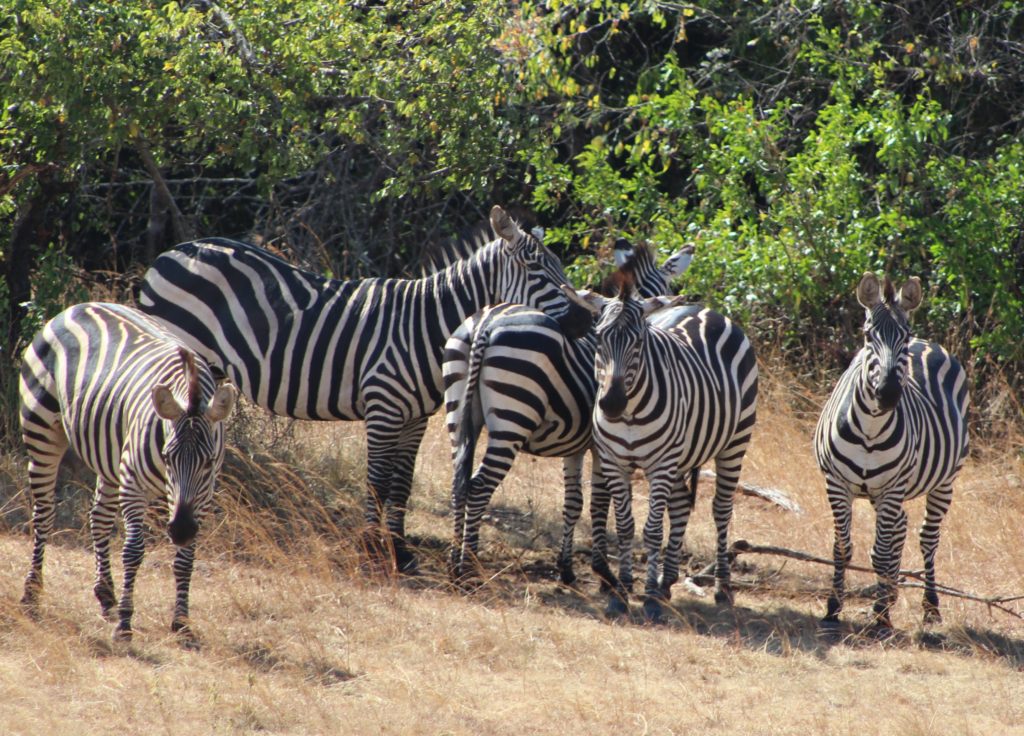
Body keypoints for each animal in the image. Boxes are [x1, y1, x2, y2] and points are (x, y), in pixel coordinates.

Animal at [19, 302, 235, 642]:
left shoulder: (202, 493)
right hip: (41, 430)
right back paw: (31, 593)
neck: (191, 392)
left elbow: (186, 557)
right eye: (167, 456)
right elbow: (134, 551)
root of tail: (78, 307)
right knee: (43, 514)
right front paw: (125, 623)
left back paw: (107, 595)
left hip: (109, 455)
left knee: (99, 517)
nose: (180, 530)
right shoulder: (133, 483)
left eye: (209, 462)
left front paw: (181, 622)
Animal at [138, 204, 593, 573]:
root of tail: (174, 251)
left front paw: (401, 552)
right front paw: (372, 550)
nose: (585, 321)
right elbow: (377, 481)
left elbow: (403, 483)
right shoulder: (383, 407)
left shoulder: (416, 418)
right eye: (537, 270)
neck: (425, 326)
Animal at [444, 238, 692, 585]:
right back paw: (468, 567)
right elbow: (600, 503)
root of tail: (486, 324)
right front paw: (603, 572)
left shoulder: (575, 445)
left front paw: (567, 568)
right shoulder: (602, 448)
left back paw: (454, 561)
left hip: (457, 409)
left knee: (458, 480)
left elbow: (573, 502)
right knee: (479, 486)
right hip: (512, 419)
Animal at [569, 264, 761, 622]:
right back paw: (667, 581)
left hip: (734, 442)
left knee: (721, 510)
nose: (611, 404)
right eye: (599, 337)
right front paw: (622, 593)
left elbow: (652, 531)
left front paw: (649, 601)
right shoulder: (615, 462)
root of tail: (705, 310)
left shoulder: (659, 465)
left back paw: (721, 587)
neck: (630, 412)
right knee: (682, 504)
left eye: (639, 341)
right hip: (681, 454)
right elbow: (626, 527)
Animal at [815, 274, 966, 630]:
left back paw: (930, 606)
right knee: (899, 527)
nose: (888, 394)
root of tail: (929, 342)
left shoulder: (893, 487)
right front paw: (833, 606)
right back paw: (892, 593)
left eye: (904, 337)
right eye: (868, 335)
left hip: (943, 480)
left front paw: (881, 614)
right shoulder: (836, 484)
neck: (870, 428)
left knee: (927, 538)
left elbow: (882, 551)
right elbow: (842, 547)